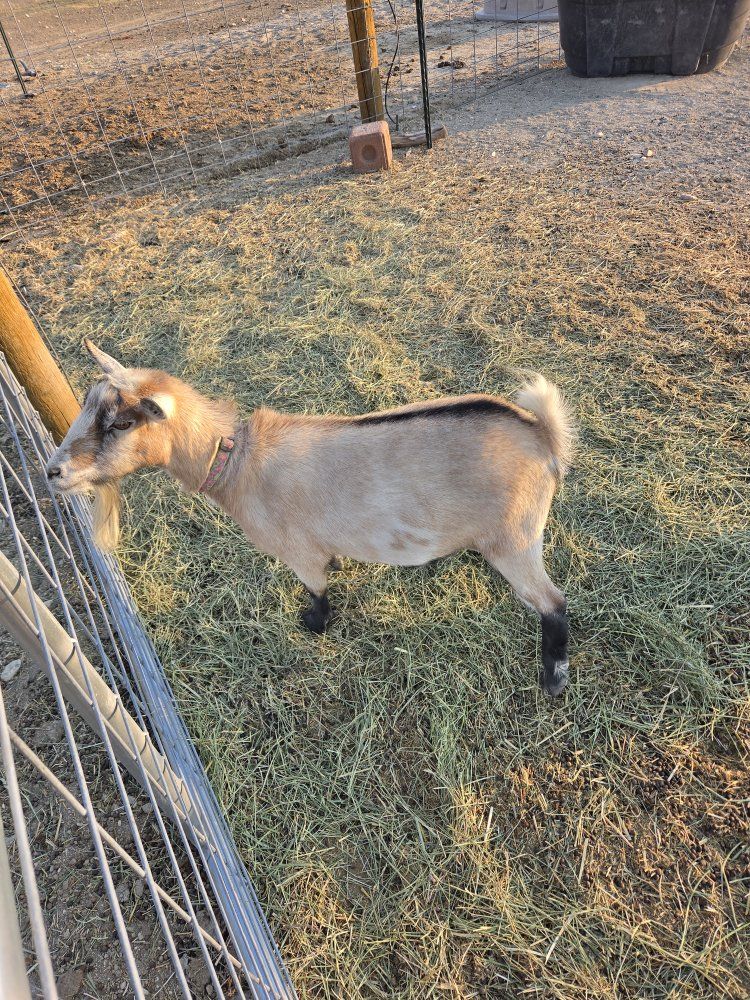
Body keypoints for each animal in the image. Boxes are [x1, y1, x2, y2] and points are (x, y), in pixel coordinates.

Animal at [47, 341, 576, 696]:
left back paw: (552, 677)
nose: (53, 472)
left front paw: (314, 623)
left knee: (554, 602)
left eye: (121, 422)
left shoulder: (298, 551)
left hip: (517, 538)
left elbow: (317, 589)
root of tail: (542, 435)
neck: (236, 464)